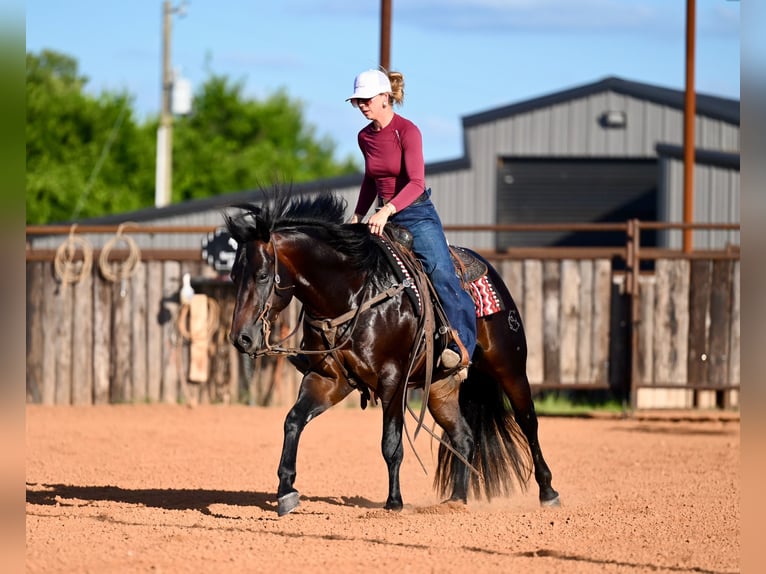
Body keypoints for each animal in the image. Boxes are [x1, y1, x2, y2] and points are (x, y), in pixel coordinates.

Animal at [226, 191, 560, 516]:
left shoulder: (393, 379)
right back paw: (455, 500)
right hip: (439, 387)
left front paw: (394, 503)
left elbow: (391, 443)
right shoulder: (327, 379)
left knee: (528, 421)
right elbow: (293, 421)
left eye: (263, 275)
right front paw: (286, 492)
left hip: (510, 368)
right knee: (464, 437)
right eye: (233, 277)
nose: (241, 338)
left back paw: (548, 493)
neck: (353, 293)